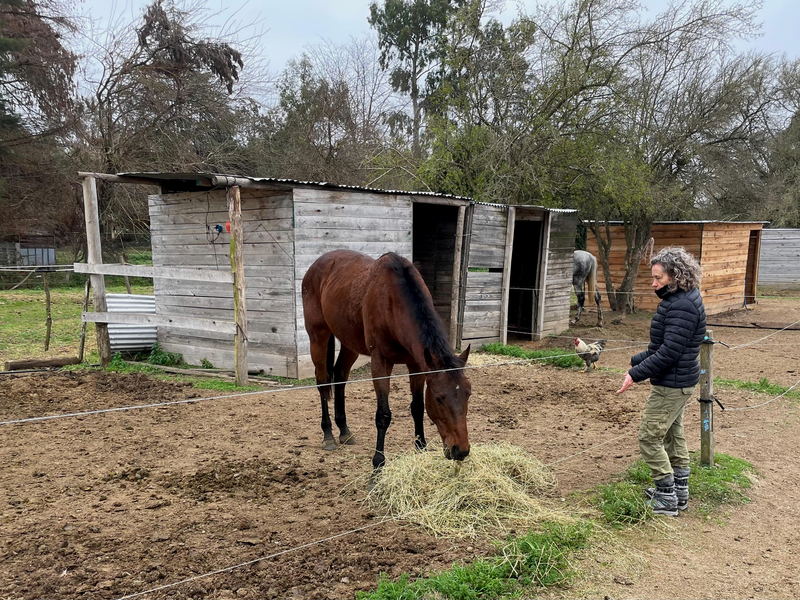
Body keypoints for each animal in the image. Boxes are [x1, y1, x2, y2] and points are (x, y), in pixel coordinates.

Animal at [301, 249, 472, 470]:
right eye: (439, 398)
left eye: (468, 394)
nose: (461, 450)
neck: (393, 301)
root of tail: (316, 265)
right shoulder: (380, 363)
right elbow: (383, 415)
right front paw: (378, 462)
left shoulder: (416, 364)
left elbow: (417, 407)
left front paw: (421, 448)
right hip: (318, 336)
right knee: (322, 382)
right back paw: (328, 434)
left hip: (349, 342)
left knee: (340, 376)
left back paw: (344, 431)